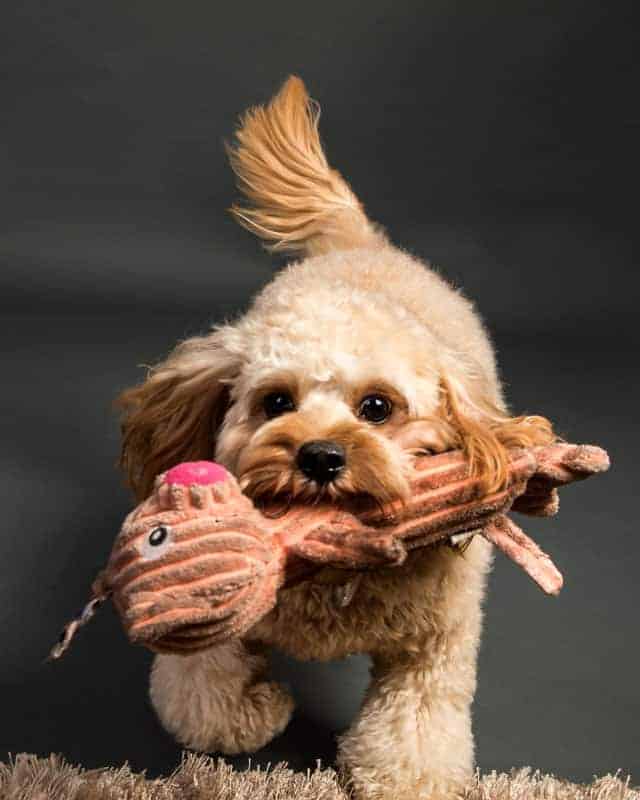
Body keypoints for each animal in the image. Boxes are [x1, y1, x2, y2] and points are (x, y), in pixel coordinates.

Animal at [116, 76, 556, 800]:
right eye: (275, 402)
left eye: (377, 407)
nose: (320, 456)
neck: (334, 566)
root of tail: (365, 246)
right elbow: (206, 682)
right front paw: (241, 719)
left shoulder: (434, 645)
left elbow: (417, 720)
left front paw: (406, 777)